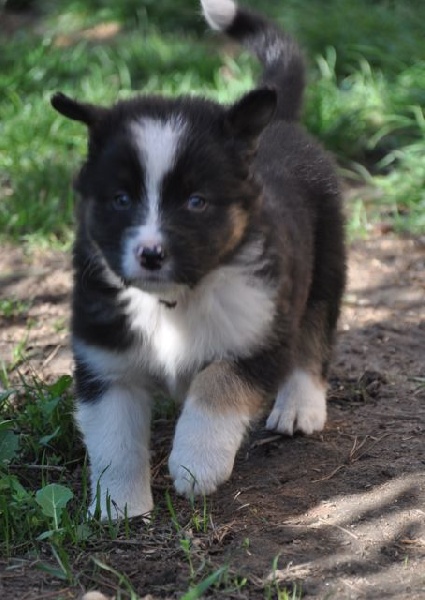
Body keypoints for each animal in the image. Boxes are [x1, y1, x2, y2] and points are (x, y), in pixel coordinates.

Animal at [51, 0, 346, 516]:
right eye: (121, 200)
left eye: (196, 202)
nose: (151, 254)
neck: (173, 300)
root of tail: (280, 123)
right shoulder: (104, 360)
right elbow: (113, 439)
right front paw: (118, 507)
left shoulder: (257, 331)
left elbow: (217, 385)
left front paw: (195, 464)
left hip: (326, 263)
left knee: (314, 334)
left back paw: (299, 407)